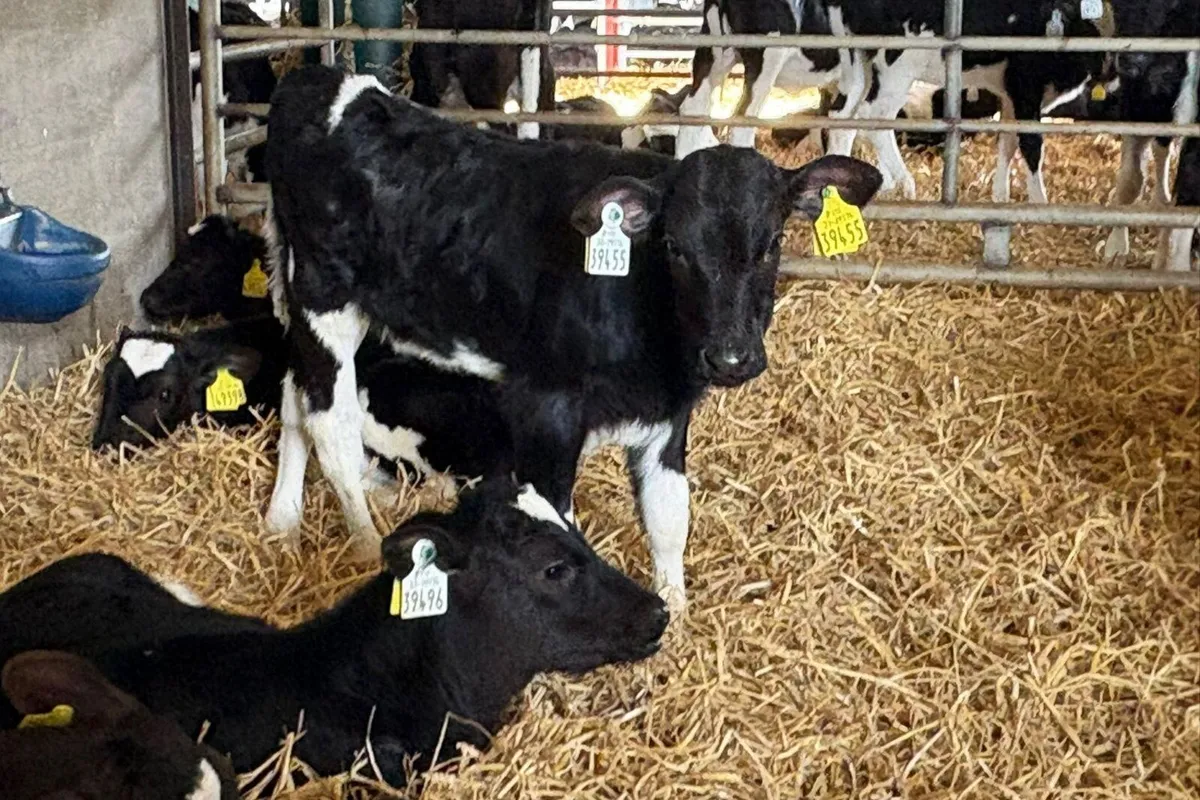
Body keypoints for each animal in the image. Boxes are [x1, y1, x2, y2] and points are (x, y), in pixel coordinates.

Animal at [261, 65, 883, 603]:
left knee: (294, 400)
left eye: (773, 242)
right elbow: (558, 522)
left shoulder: (670, 413)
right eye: (675, 246)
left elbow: (669, 515)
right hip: (324, 294)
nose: (730, 358)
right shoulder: (545, 409)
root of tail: (327, 81)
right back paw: (365, 541)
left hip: (293, 290)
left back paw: (282, 519)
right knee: (331, 423)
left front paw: (677, 612)